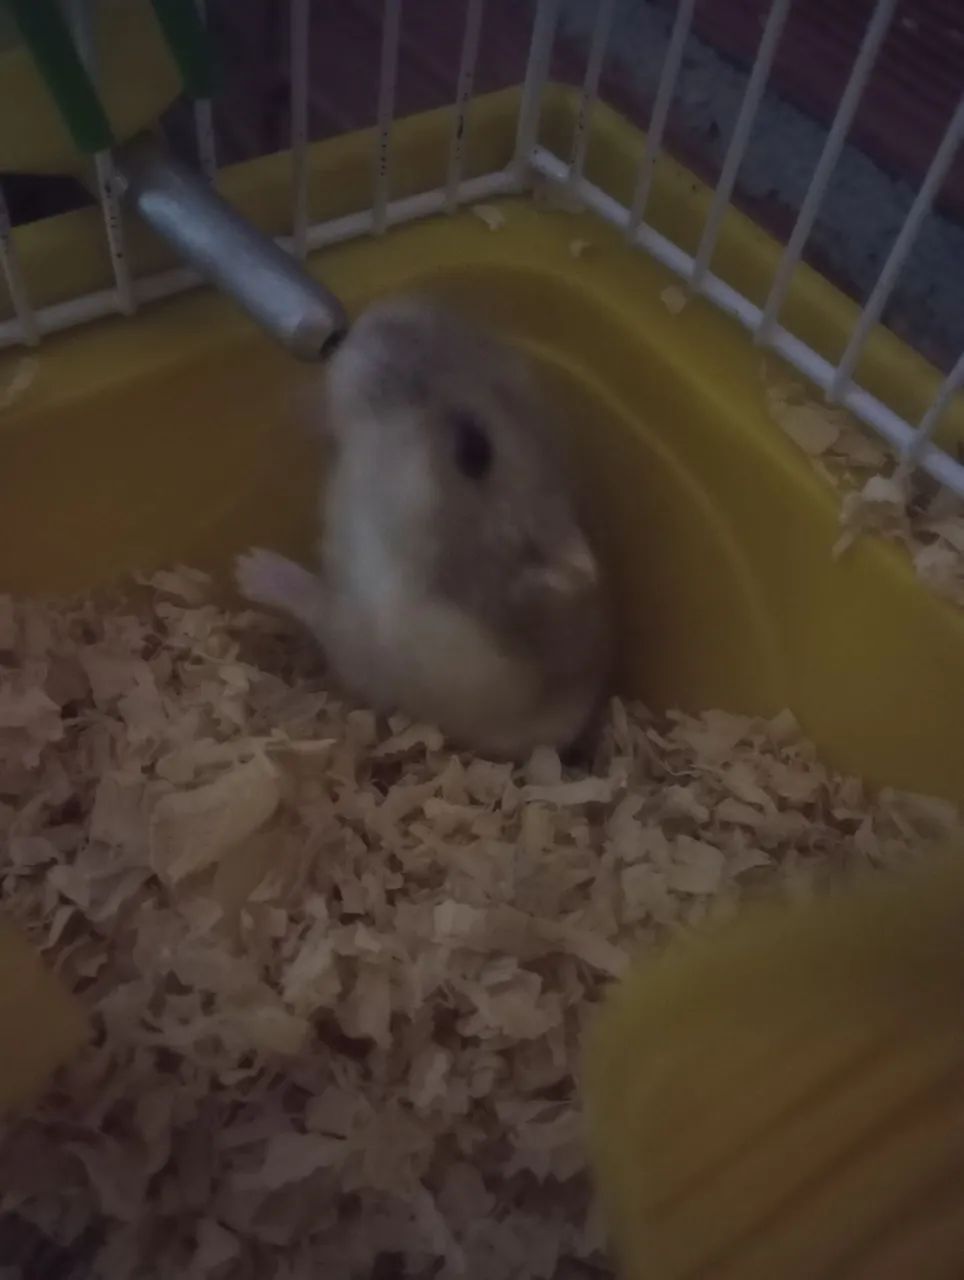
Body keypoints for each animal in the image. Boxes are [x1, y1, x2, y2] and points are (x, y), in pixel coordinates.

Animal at [235, 295, 609, 759]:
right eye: (514, 363)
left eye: (474, 449)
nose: (383, 316)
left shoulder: (366, 640)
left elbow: (318, 604)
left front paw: (249, 566)